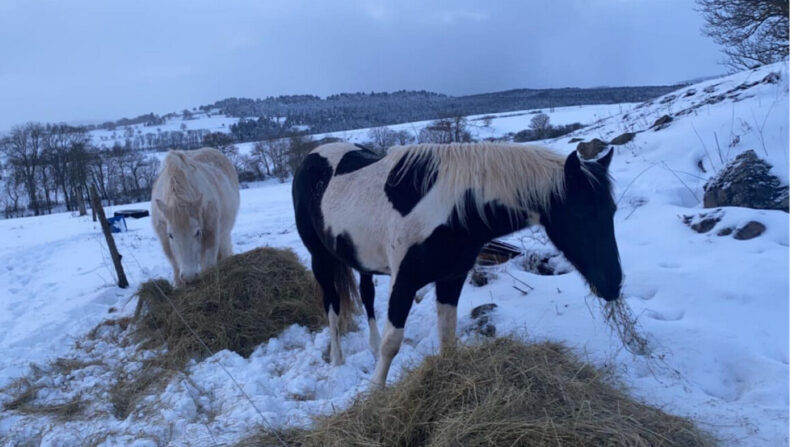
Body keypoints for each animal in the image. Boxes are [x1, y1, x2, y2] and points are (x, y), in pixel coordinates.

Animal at [151, 148, 239, 288]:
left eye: (197, 232)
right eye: (170, 235)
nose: (189, 277)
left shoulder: (211, 234)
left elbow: (208, 264)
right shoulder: (165, 241)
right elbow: (175, 266)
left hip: (224, 234)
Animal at [292, 143, 620, 384]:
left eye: (612, 210)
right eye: (582, 213)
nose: (613, 285)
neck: (451, 209)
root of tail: (310, 157)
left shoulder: (451, 278)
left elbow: (447, 338)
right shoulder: (404, 281)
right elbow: (392, 343)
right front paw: (374, 395)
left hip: (361, 259)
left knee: (367, 296)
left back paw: (368, 348)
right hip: (321, 259)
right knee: (332, 304)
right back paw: (337, 360)